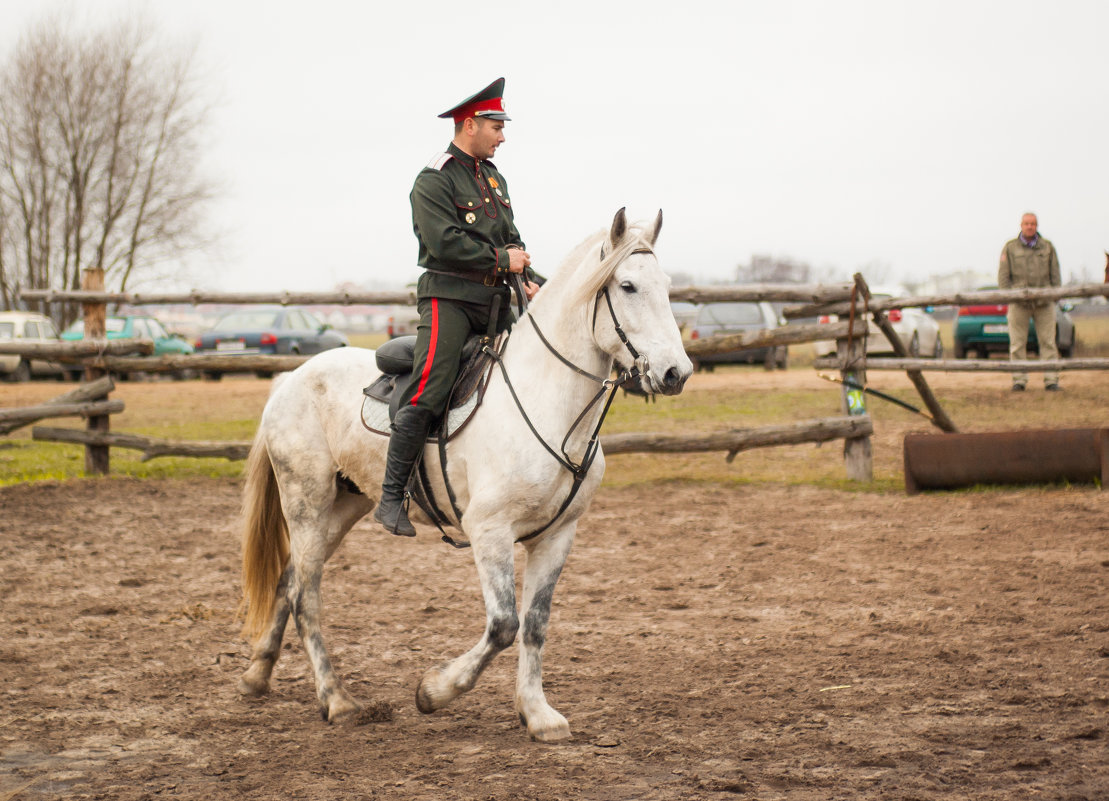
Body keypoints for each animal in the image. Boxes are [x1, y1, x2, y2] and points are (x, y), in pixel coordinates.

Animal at [240, 204, 692, 736]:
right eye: (627, 286)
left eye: (667, 285)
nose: (676, 373)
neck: (547, 400)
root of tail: (293, 377)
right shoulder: (489, 532)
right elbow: (503, 625)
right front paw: (433, 692)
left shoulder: (557, 535)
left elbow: (535, 624)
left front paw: (537, 714)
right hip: (306, 503)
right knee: (306, 595)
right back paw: (337, 700)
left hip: (343, 507)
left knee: (289, 581)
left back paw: (258, 675)